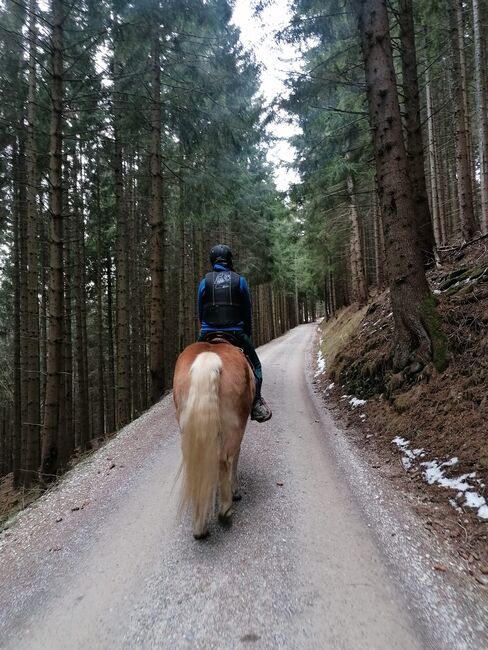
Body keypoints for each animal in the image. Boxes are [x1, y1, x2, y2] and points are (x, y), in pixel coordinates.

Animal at [173, 336, 255, 540]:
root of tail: (208, 359)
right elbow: (236, 457)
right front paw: (236, 491)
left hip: (187, 428)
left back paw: (199, 526)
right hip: (234, 426)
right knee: (224, 460)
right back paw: (225, 512)